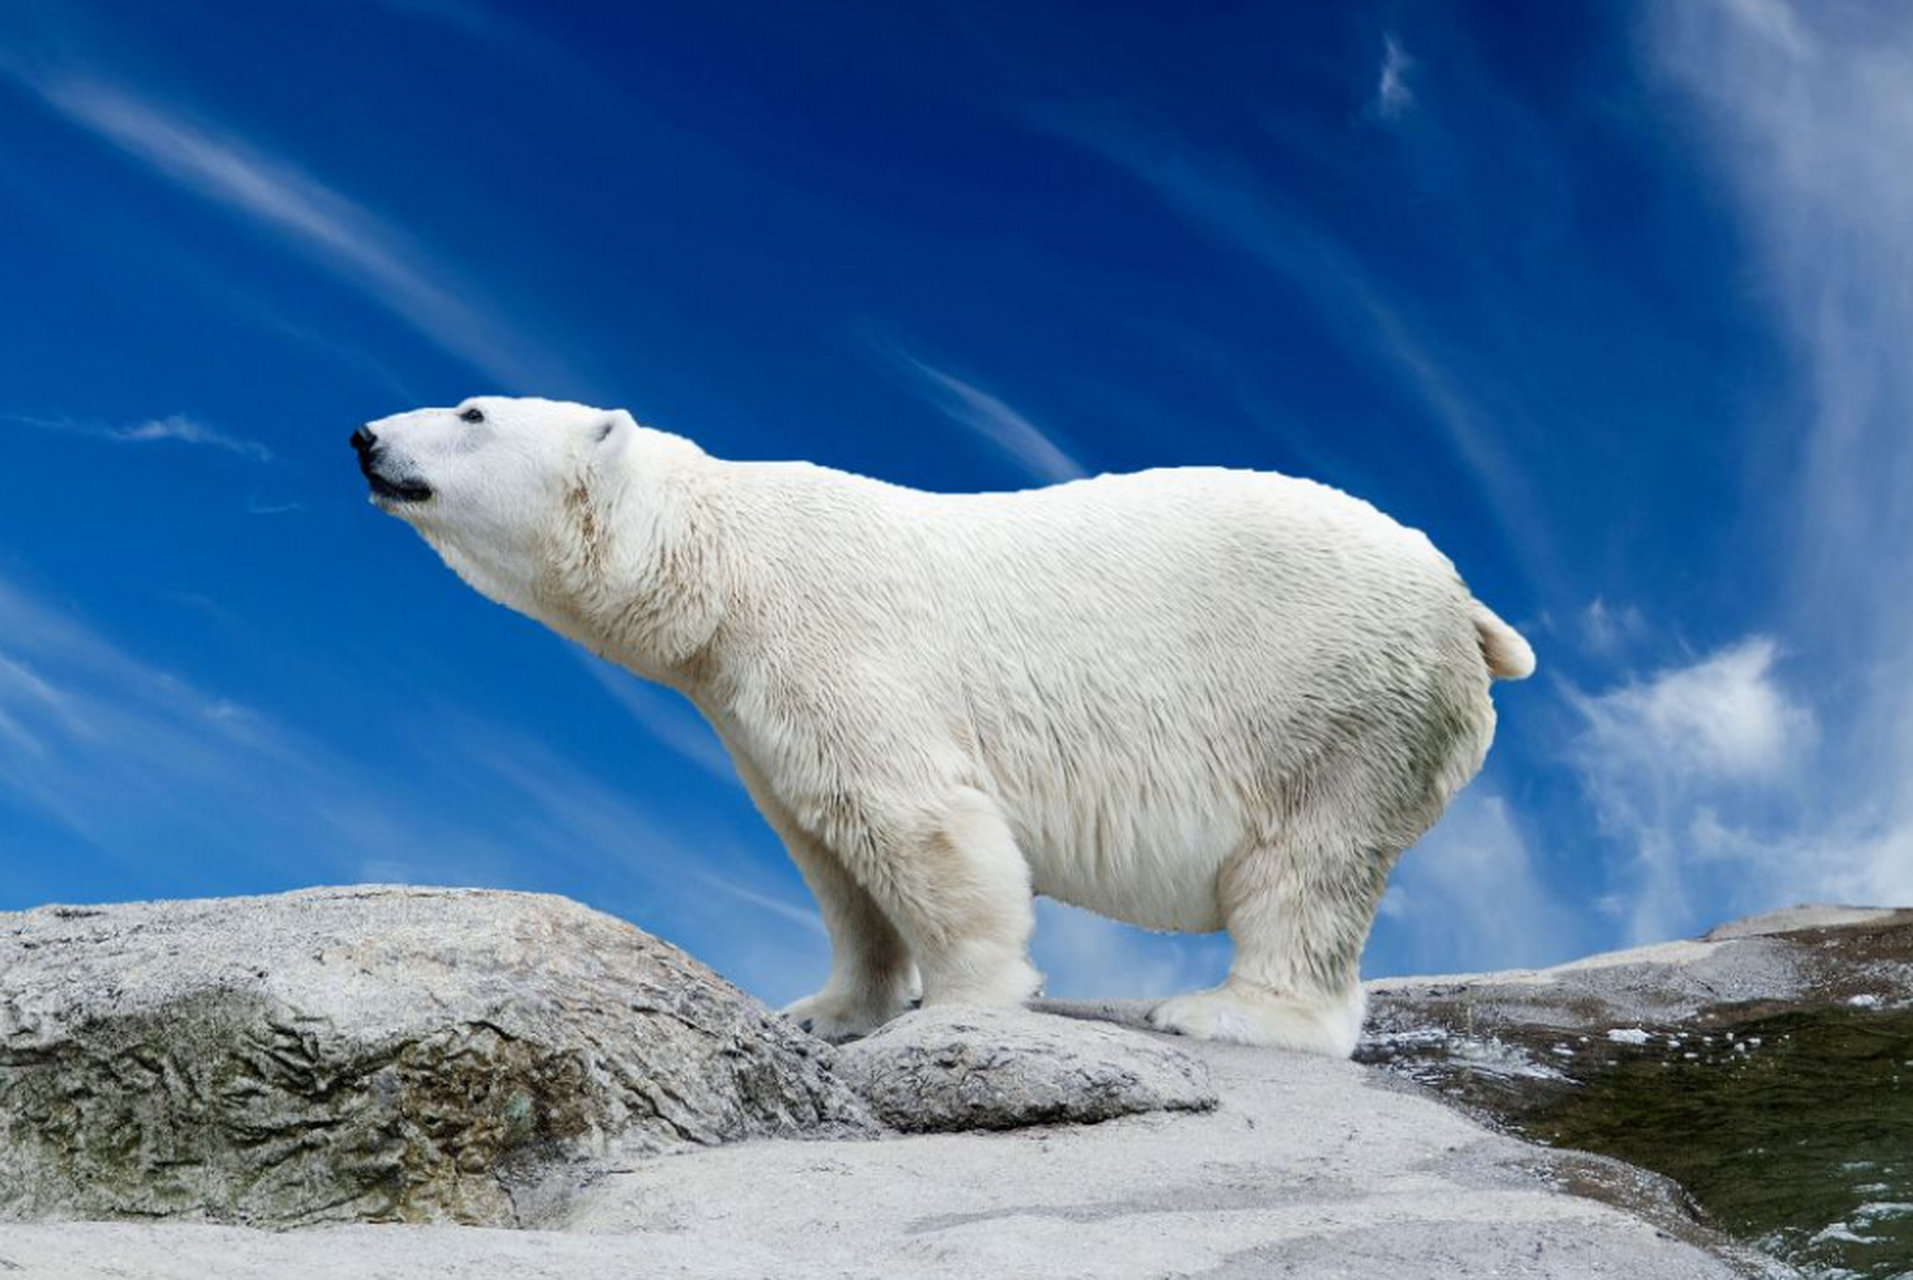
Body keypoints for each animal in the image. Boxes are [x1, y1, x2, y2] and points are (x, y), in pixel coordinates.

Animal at [351, 394, 1530, 1056]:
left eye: (472, 413)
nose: (363, 435)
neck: (723, 564)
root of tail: (1467, 605)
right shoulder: (747, 704)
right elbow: (826, 852)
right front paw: (827, 1009)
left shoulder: (838, 648)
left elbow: (917, 824)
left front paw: (968, 1004)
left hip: (1335, 707)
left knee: (1304, 869)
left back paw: (1231, 1013)